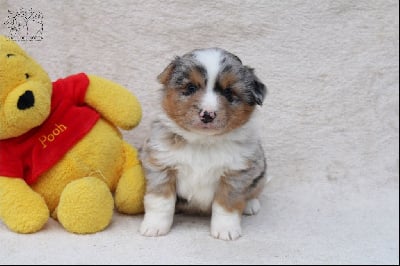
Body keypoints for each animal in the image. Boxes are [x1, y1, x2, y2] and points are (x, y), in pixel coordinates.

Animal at [139, 47, 268, 241]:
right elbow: (161, 202)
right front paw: (154, 226)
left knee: (254, 190)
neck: (203, 142)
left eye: (229, 93)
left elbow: (226, 205)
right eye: (191, 88)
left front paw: (225, 229)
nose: (207, 114)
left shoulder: (236, 173)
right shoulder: (161, 166)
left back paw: (251, 205)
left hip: (260, 172)